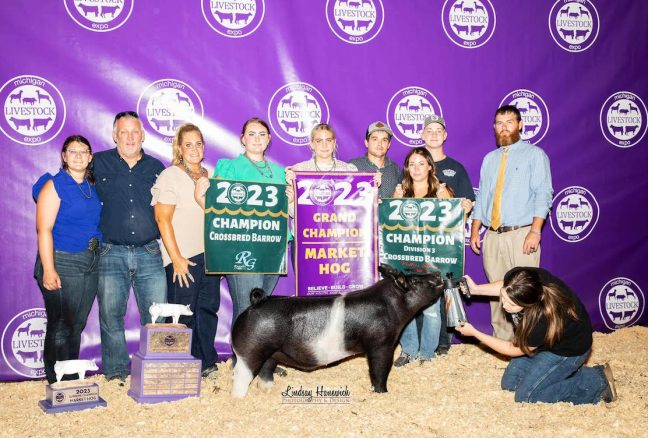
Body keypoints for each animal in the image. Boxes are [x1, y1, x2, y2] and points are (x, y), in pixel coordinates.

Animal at [229, 264, 446, 396]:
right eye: (415, 282)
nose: (438, 274)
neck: (391, 306)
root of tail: (257, 302)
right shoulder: (380, 344)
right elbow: (379, 370)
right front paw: (382, 393)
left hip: (272, 351)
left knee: (266, 368)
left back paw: (268, 389)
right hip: (251, 350)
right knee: (241, 375)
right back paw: (238, 398)